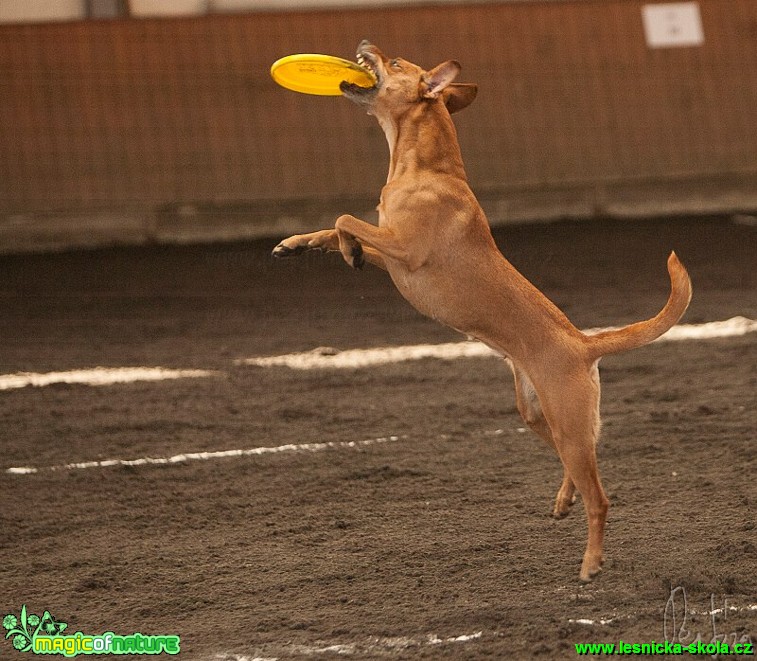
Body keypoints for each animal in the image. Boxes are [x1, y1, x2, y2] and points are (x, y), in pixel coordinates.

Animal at [272, 41, 692, 580]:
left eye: (398, 62)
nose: (365, 44)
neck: (422, 168)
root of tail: (583, 342)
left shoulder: (405, 249)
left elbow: (345, 219)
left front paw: (349, 251)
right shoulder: (392, 252)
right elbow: (333, 227)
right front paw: (298, 244)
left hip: (566, 419)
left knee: (600, 497)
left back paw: (591, 563)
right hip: (540, 415)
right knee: (580, 464)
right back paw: (565, 500)